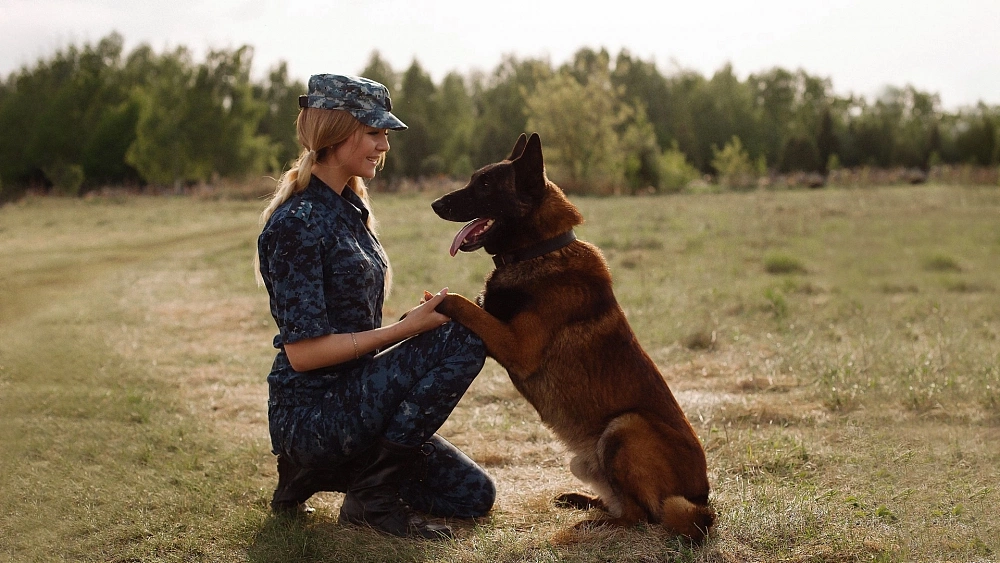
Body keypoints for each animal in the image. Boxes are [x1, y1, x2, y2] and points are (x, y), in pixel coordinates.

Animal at [428, 133, 712, 540]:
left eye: (484, 185)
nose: (435, 204)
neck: (539, 250)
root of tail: (703, 502)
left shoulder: (517, 346)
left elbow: (461, 302)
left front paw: (431, 303)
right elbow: (474, 304)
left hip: (625, 426)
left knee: (641, 516)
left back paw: (596, 523)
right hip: (586, 460)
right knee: (622, 503)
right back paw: (584, 502)